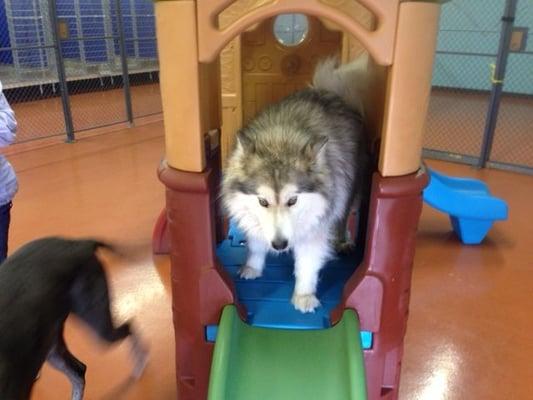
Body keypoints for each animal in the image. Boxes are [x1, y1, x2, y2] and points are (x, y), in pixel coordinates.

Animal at [220, 55, 370, 312]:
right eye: (263, 201)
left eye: (293, 200)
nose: (280, 245)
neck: (279, 141)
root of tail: (329, 91)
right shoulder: (254, 218)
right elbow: (256, 245)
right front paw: (252, 267)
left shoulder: (316, 227)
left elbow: (307, 264)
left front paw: (304, 296)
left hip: (348, 190)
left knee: (342, 218)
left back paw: (342, 241)